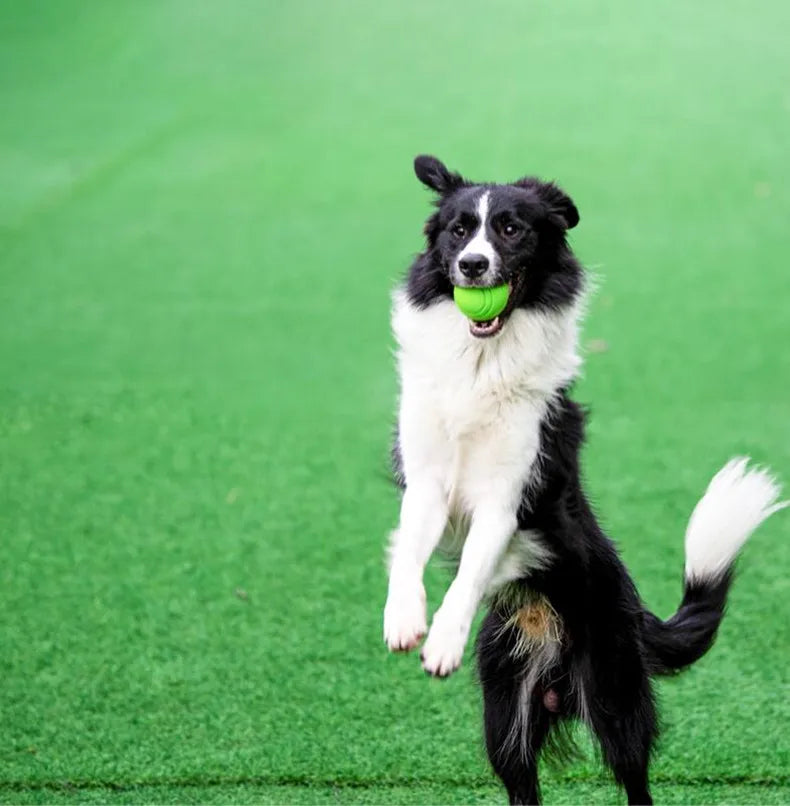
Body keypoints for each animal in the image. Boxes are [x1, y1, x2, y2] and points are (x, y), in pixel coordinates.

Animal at [382, 155, 784, 804]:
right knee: (522, 781)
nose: (473, 266)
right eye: (458, 231)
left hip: (615, 699)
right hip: (505, 715)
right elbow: (408, 552)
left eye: (512, 230)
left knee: (636, 780)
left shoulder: (508, 498)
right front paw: (404, 620)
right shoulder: (427, 481)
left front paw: (442, 641)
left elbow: (470, 571)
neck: (482, 363)